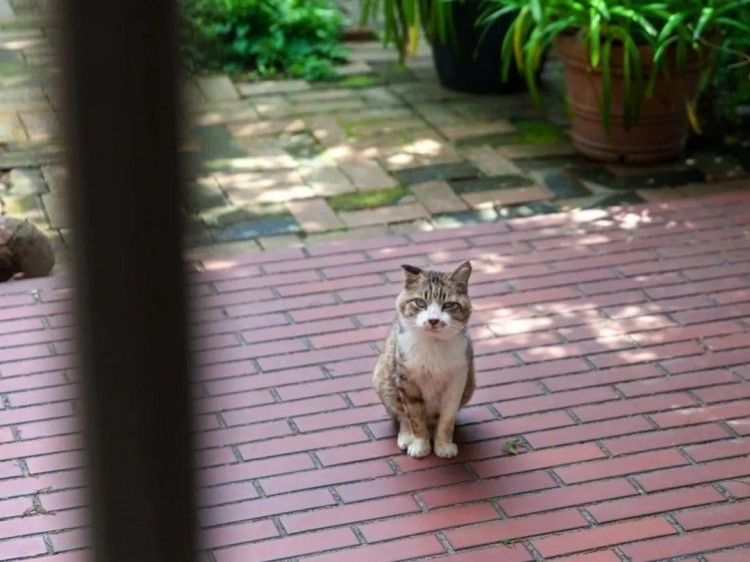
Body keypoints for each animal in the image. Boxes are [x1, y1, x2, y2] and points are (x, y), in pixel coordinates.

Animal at [374, 260, 476, 458]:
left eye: (448, 305)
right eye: (420, 302)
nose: (433, 320)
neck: (433, 344)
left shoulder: (458, 379)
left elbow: (447, 418)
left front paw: (444, 444)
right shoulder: (407, 379)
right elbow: (414, 416)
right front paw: (420, 445)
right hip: (383, 379)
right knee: (400, 414)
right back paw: (407, 437)